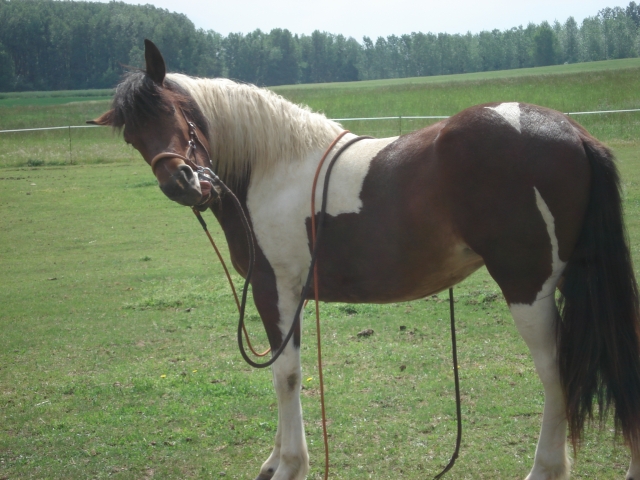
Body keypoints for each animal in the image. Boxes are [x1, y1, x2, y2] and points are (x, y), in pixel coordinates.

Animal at [90, 39, 640, 480]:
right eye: (132, 136)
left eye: (170, 111)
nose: (183, 184)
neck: (270, 168)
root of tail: (572, 132)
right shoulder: (286, 297)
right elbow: (281, 371)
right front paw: (275, 459)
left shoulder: (275, 290)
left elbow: (285, 375)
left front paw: (290, 464)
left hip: (528, 286)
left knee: (555, 373)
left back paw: (545, 468)